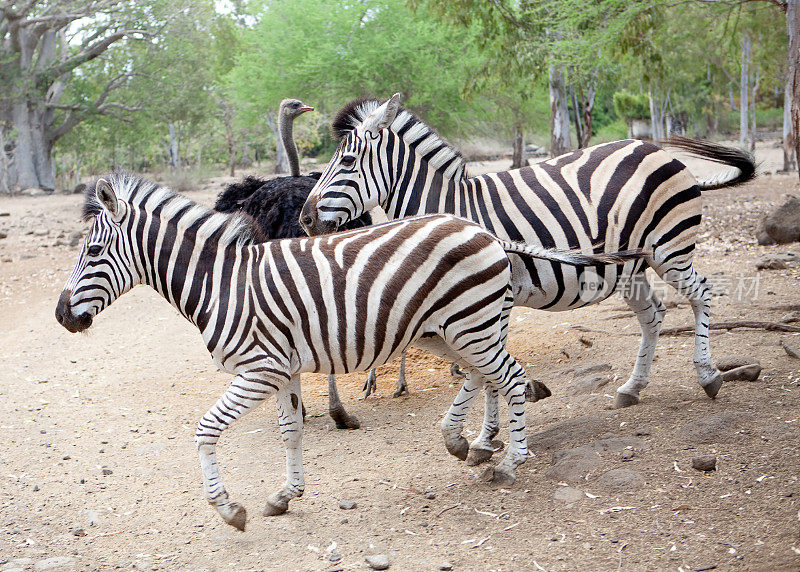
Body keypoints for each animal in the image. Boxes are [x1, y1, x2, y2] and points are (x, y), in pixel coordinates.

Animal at [54, 175, 644, 532]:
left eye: (94, 251)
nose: (62, 316)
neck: (224, 285)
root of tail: (483, 229)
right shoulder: (284, 370)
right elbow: (291, 432)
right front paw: (284, 495)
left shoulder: (257, 369)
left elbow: (205, 431)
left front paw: (229, 509)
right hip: (448, 329)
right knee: (489, 377)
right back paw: (470, 444)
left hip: (470, 324)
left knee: (513, 378)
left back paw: (509, 462)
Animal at [300, 92, 756, 406]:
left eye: (346, 163)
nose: (304, 220)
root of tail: (653, 147)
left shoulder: (491, 300)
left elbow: (486, 368)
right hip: (632, 267)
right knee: (653, 316)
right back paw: (632, 387)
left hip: (670, 250)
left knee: (701, 294)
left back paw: (708, 376)